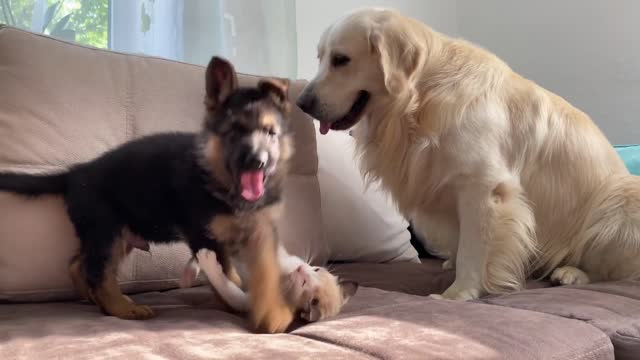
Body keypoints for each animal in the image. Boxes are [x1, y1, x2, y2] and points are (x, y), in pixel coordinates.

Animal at [0, 57, 296, 334]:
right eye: (234, 132)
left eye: (271, 133)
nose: (257, 162)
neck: (220, 181)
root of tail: (77, 172)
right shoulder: (205, 236)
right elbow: (230, 277)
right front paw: (236, 302)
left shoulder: (262, 231)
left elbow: (267, 271)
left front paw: (272, 313)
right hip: (106, 230)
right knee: (98, 272)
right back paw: (121, 307)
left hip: (115, 235)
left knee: (78, 264)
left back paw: (92, 298)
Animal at [182, 248, 358, 320]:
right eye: (316, 269)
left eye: (304, 284)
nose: (300, 268)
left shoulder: (248, 302)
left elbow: (231, 293)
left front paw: (207, 261)